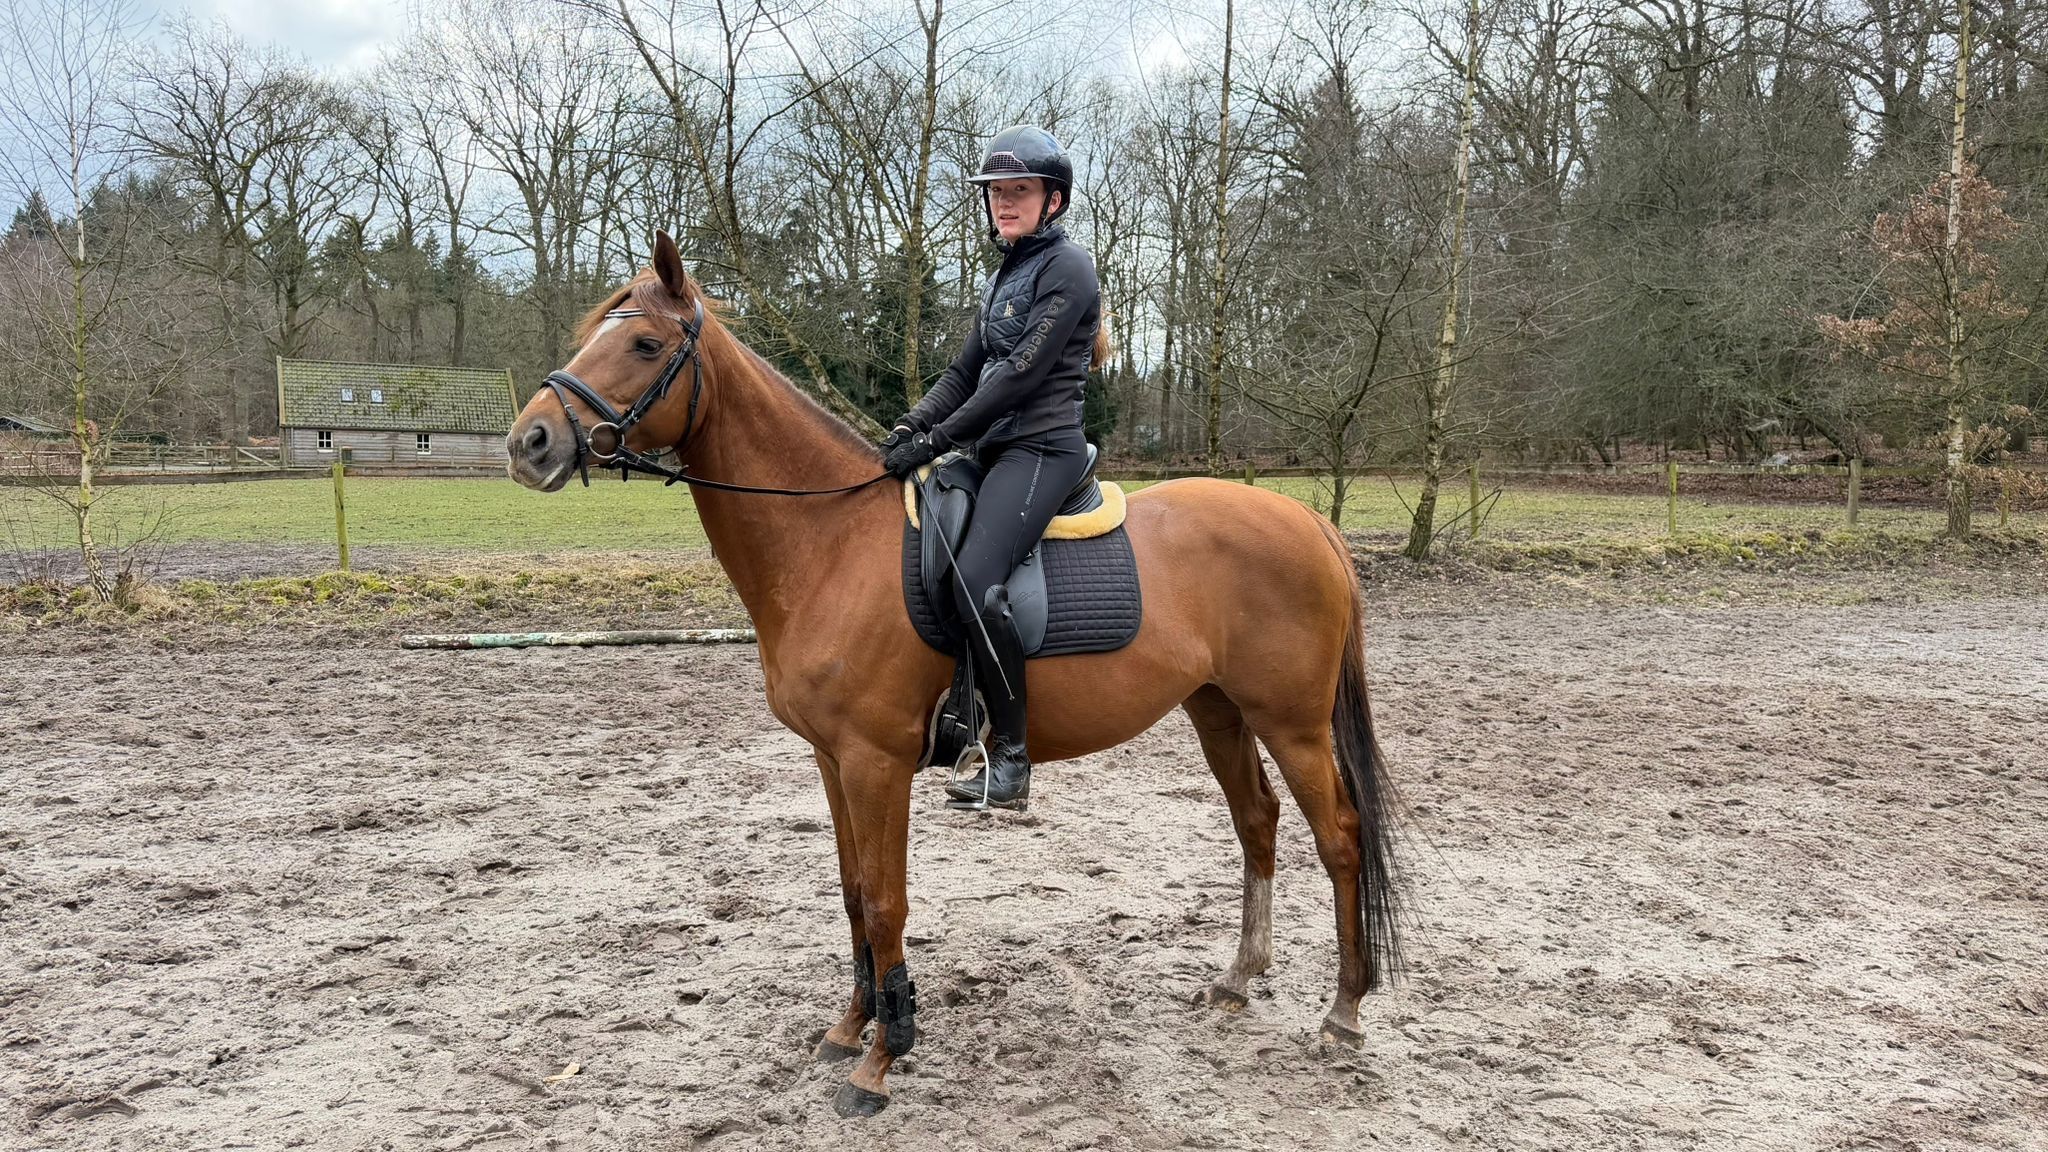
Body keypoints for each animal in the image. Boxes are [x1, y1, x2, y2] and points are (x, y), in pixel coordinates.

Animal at [505, 231, 1403, 1117]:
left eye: (646, 344)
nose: (529, 443)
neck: (829, 541)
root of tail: (1311, 523)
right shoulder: (831, 760)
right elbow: (851, 892)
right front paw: (851, 1026)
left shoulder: (875, 763)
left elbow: (885, 902)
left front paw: (883, 1057)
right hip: (1218, 708)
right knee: (1257, 821)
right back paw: (1238, 980)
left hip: (1291, 722)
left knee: (1339, 836)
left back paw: (1344, 1012)